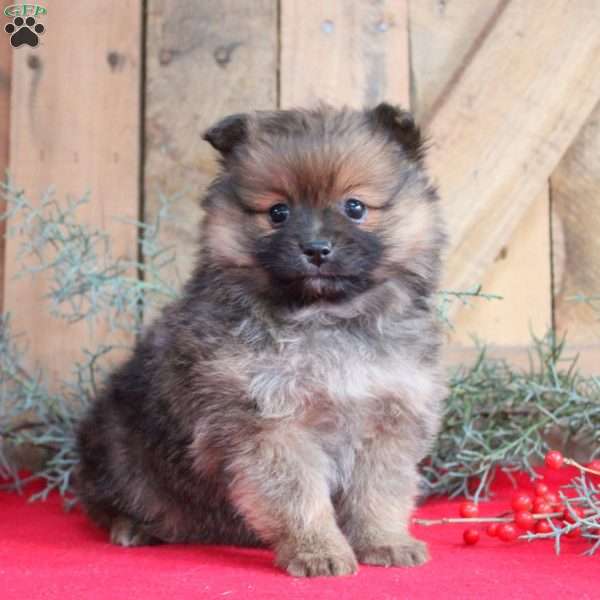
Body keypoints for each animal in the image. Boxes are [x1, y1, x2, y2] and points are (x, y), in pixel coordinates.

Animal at [76, 103, 446, 576]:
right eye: (278, 213)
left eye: (355, 207)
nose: (316, 248)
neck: (325, 320)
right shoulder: (269, 425)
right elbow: (299, 496)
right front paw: (317, 551)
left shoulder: (389, 419)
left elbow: (379, 493)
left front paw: (385, 542)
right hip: (119, 447)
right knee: (108, 499)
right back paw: (133, 527)